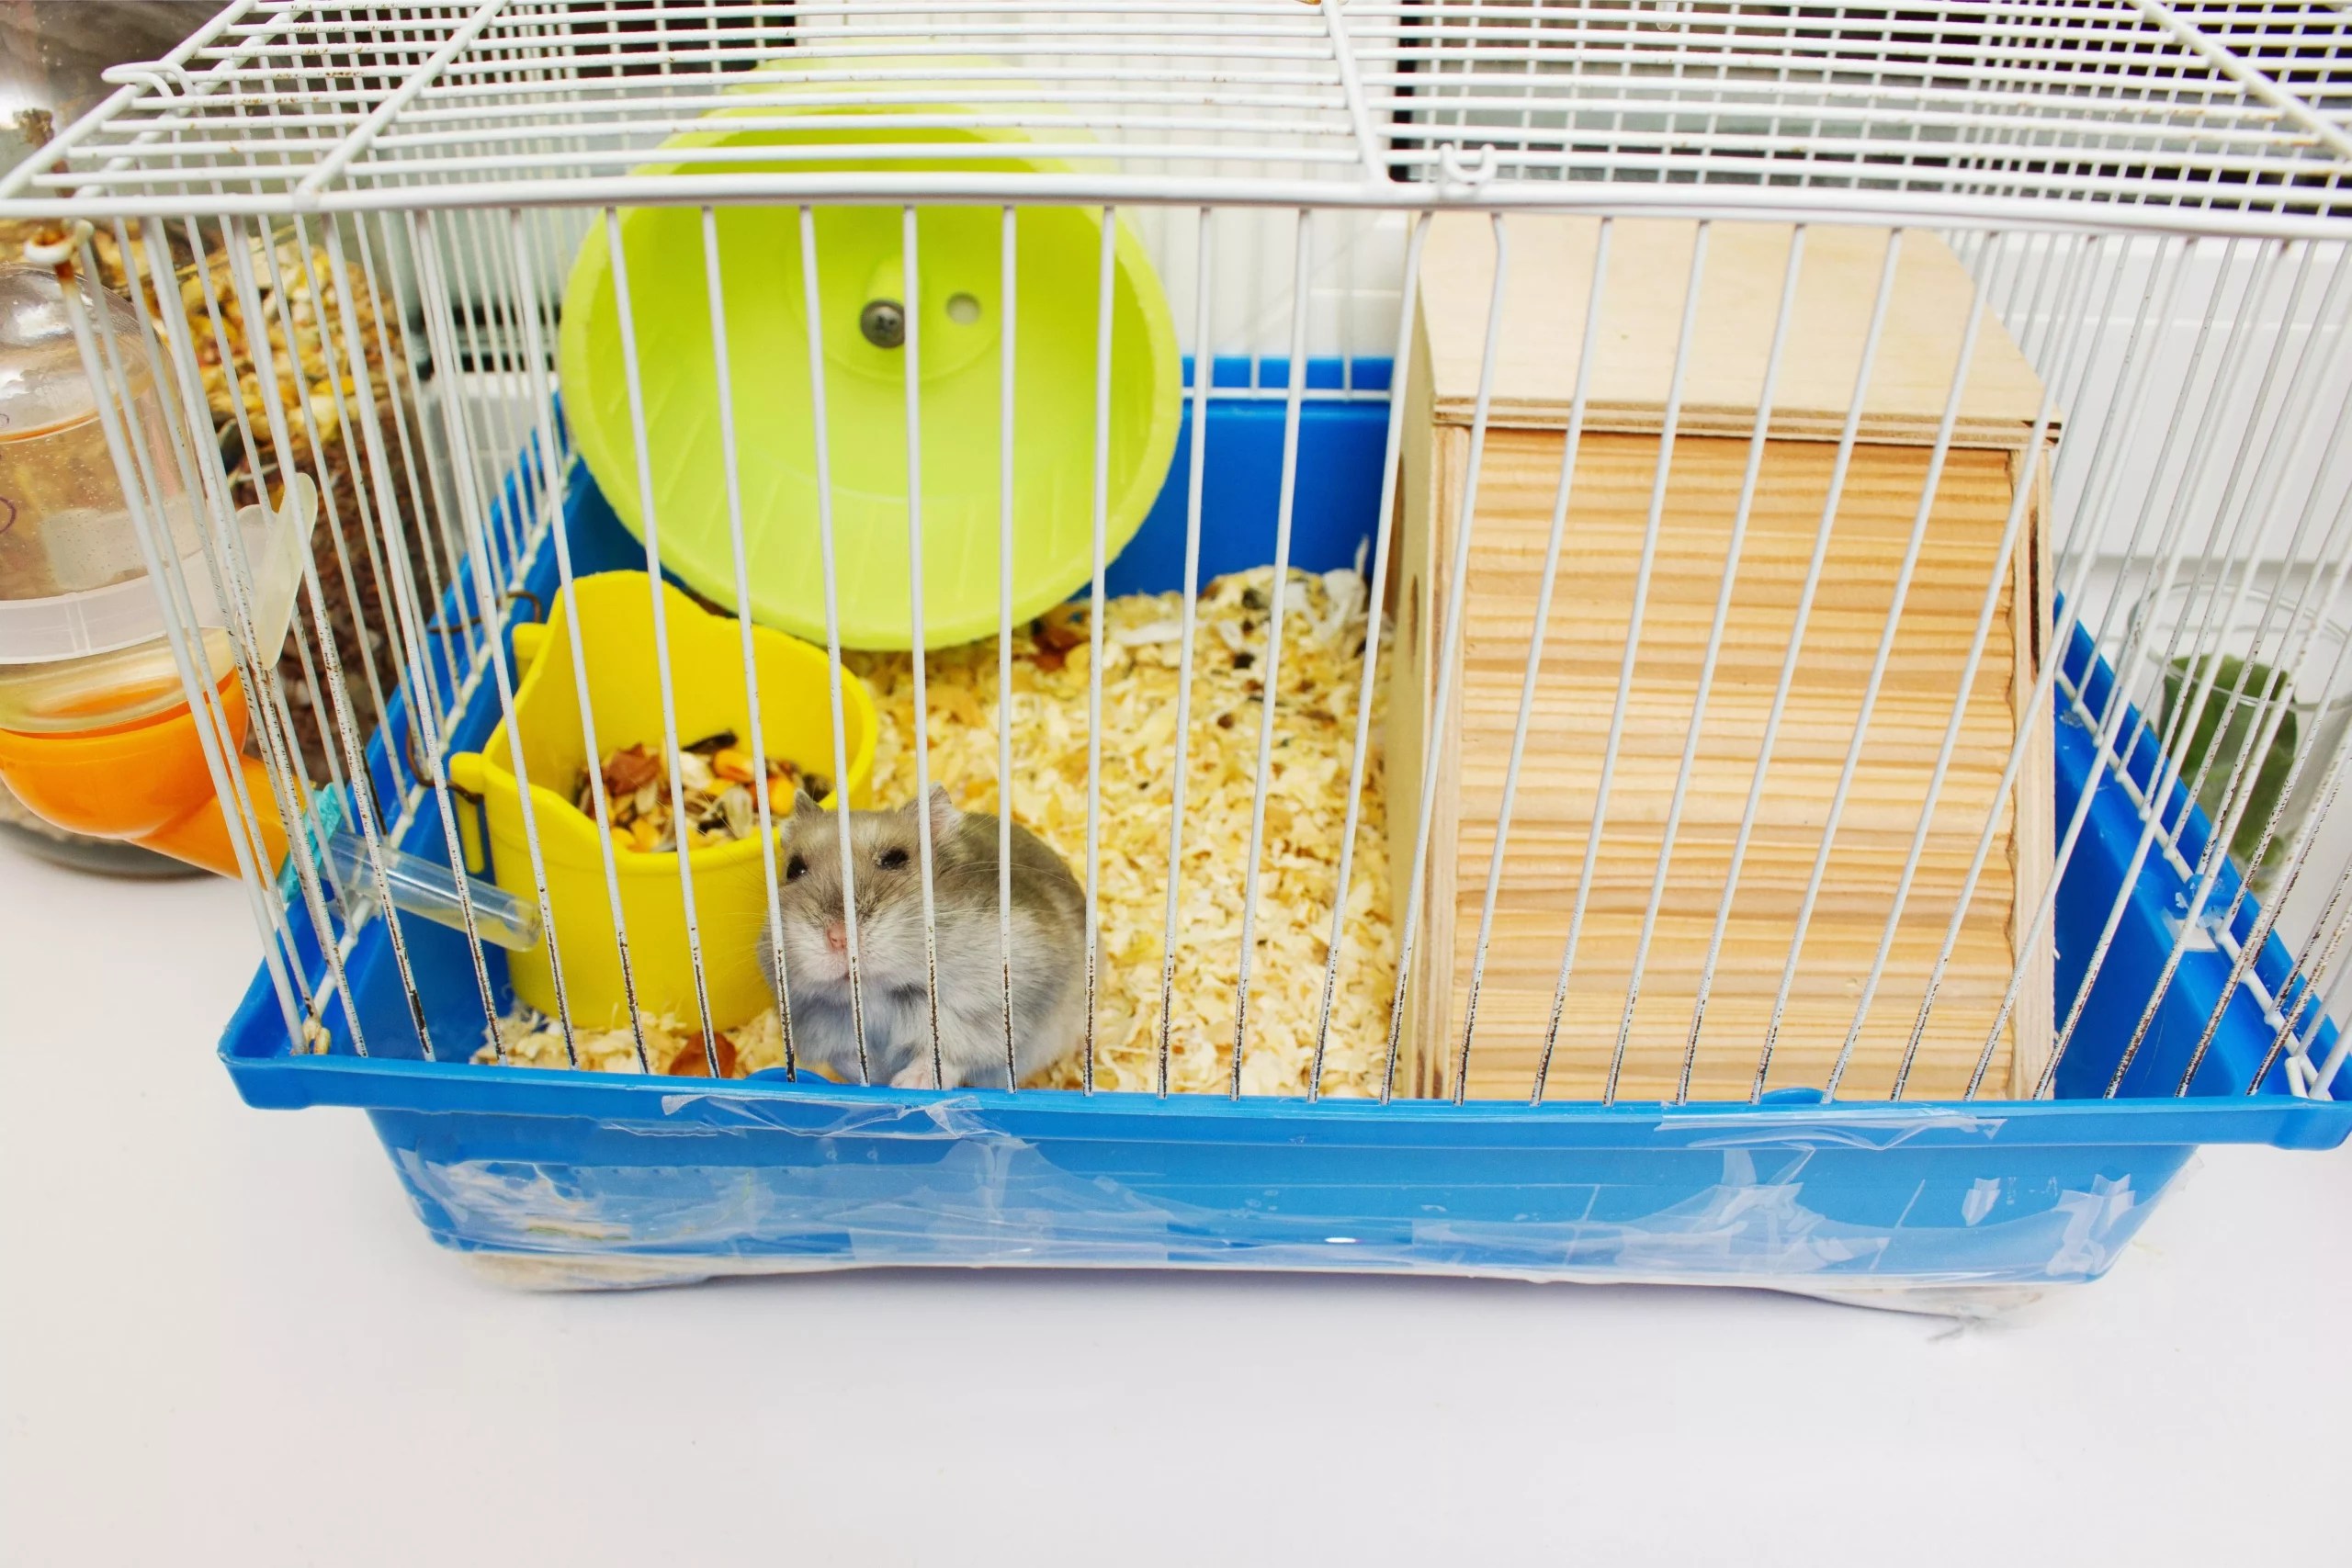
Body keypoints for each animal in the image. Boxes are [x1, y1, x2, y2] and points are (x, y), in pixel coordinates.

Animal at [757, 785, 1087, 1090]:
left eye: (894, 859)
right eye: (794, 869)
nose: (839, 937)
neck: (877, 994)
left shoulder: (991, 1013)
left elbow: (947, 1054)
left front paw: (908, 1084)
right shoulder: (822, 1032)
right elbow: (853, 1061)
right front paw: (878, 1082)